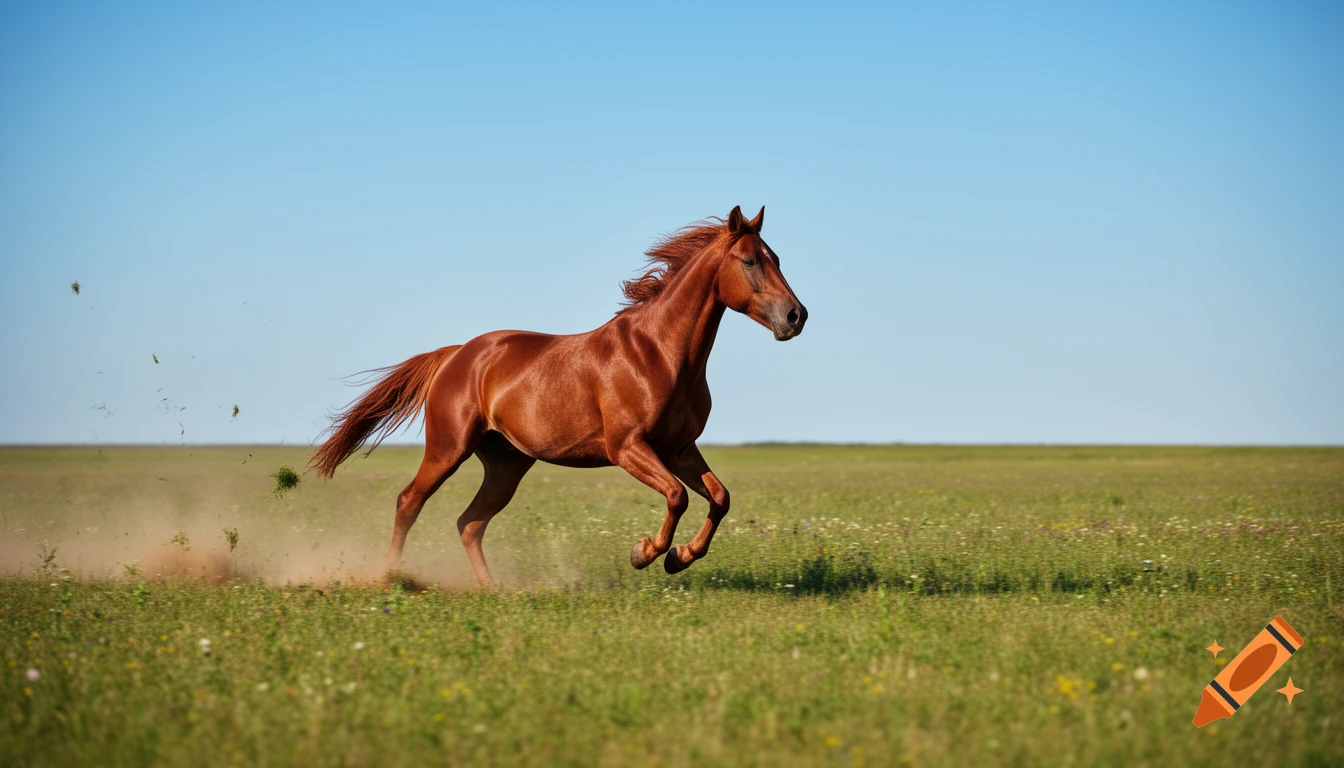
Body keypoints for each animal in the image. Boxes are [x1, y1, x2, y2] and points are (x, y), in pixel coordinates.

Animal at [308, 205, 807, 586]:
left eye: (777, 257)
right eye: (750, 260)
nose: (796, 316)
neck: (660, 353)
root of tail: (457, 355)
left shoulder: (679, 448)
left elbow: (719, 498)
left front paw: (678, 558)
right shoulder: (627, 448)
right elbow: (677, 497)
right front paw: (645, 552)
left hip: (507, 465)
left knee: (470, 523)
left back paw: (492, 590)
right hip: (448, 448)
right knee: (409, 502)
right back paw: (391, 577)